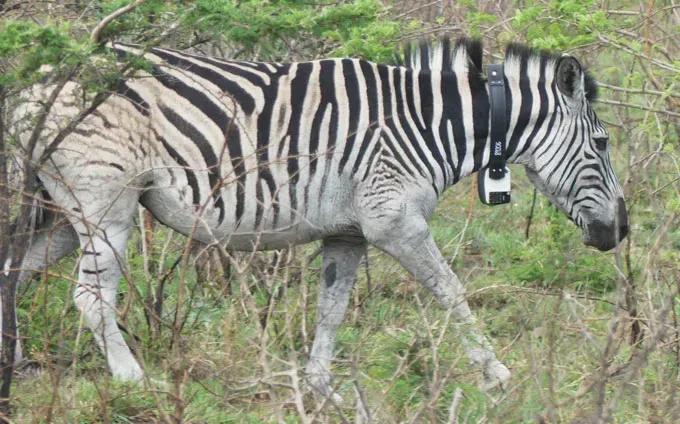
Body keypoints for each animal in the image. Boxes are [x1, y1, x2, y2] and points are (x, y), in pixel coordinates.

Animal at [3, 38, 628, 400]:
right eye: (601, 144)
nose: (620, 231)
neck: (432, 123)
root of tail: (37, 83)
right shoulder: (394, 220)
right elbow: (451, 290)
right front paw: (495, 375)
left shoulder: (348, 233)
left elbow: (331, 309)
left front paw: (321, 387)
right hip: (104, 201)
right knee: (90, 296)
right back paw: (134, 381)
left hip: (60, 214)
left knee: (14, 271)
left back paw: (12, 366)